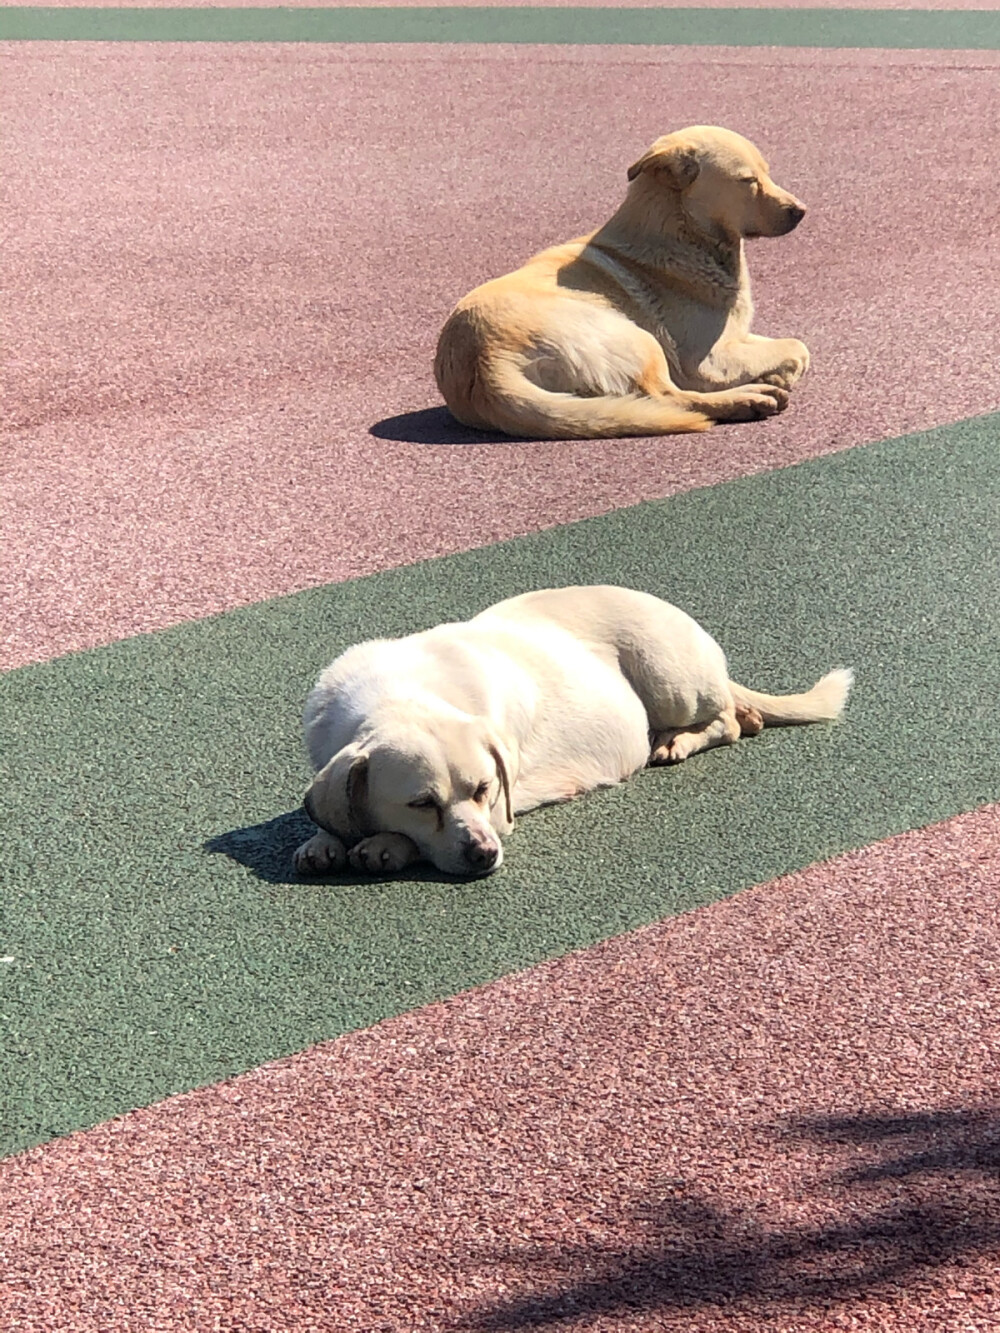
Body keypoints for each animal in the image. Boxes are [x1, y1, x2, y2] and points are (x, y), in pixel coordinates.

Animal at [293, 586, 848, 879]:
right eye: (421, 803)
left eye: (484, 789)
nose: (485, 854)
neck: (399, 694)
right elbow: (330, 806)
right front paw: (323, 839)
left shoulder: (500, 809)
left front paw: (385, 845)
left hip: (669, 678)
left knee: (729, 721)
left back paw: (679, 739)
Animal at [437, 125, 816, 439]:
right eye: (748, 180)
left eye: (767, 173)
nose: (801, 211)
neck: (681, 232)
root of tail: (485, 363)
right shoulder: (707, 361)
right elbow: (798, 347)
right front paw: (777, 375)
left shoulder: (735, 338)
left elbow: (792, 345)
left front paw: (776, 371)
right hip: (640, 339)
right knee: (670, 396)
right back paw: (749, 400)